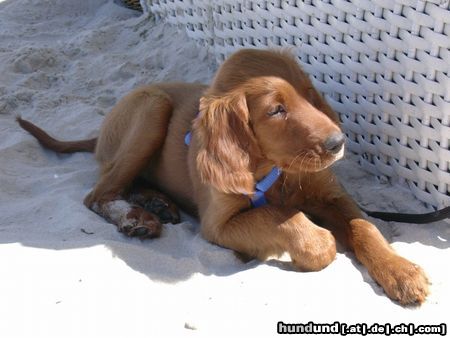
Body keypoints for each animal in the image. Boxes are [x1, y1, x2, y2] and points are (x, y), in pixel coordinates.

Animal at [18, 48, 428, 304]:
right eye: (276, 110)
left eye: (310, 95)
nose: (337, 142)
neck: (276, 170)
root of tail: (100, 134)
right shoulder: (219, 223)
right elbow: (284, 218)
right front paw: (311, 242)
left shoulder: (332, 195)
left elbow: (365, 226)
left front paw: (401, 272)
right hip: (153, 107)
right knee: (99, 194)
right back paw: (138, 217)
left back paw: (156, 202)